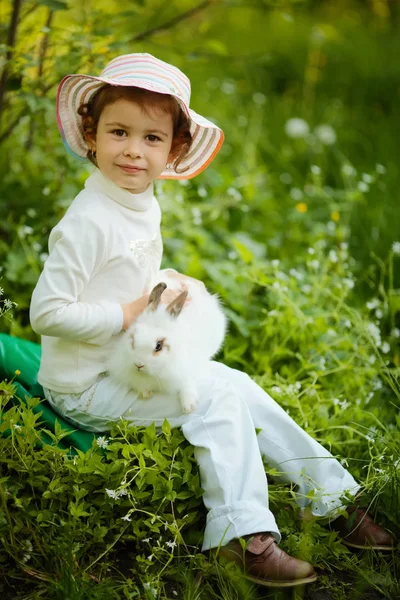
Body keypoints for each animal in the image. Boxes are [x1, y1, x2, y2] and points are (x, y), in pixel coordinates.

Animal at [108, 272, 228, 412]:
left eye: (158, 346)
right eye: (133, 338)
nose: (138, 364)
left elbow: (188, 384)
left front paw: (189, 406)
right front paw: (145, 393)